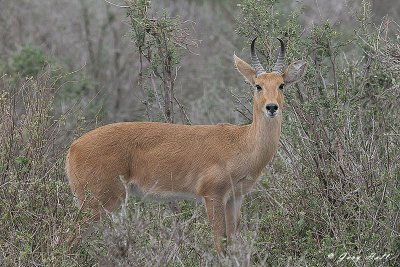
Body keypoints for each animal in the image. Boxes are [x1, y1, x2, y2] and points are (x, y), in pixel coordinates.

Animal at [65, 38, 306, 255]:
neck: (241, 142)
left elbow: (232, 242)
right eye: (258, 85)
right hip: (98, 202)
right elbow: (219, 243)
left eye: (281, 84)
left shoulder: (235, 197)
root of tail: (73, 147)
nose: (271, 107)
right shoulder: (212, 195)